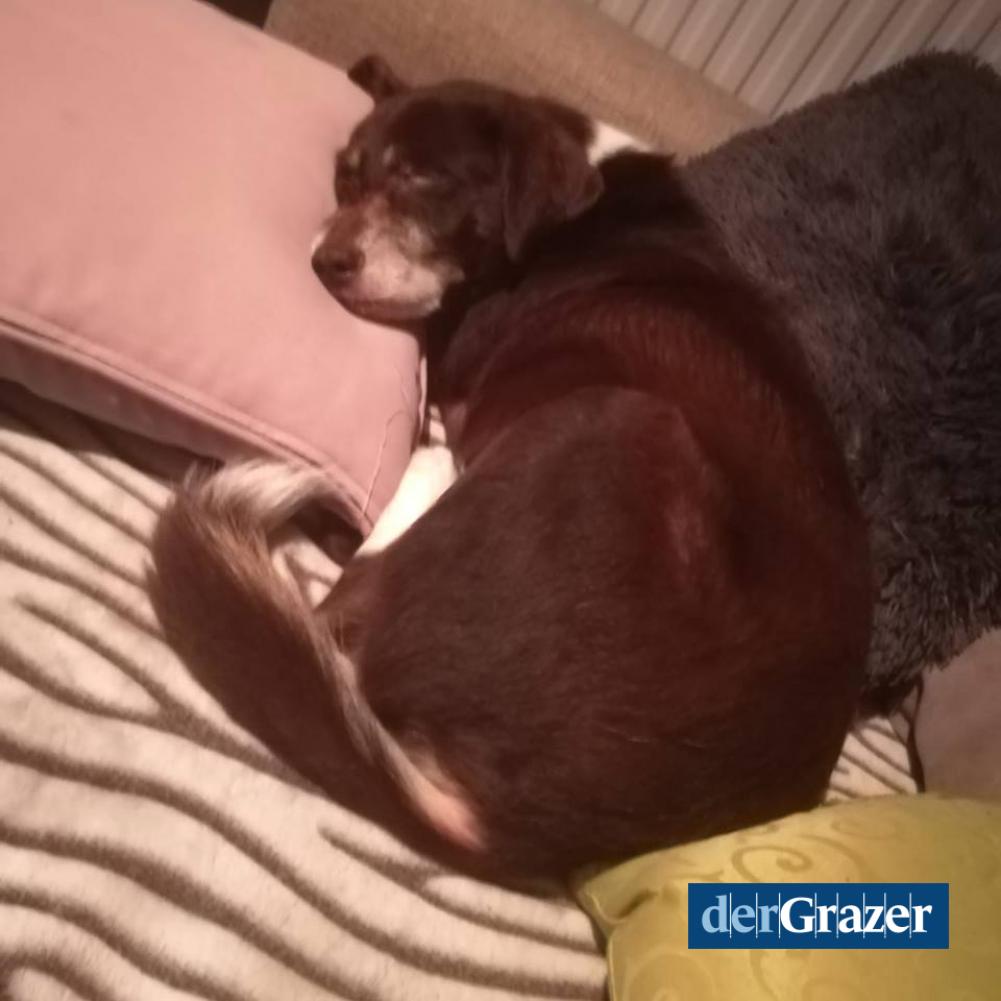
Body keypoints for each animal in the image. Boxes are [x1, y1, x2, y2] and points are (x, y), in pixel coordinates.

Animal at [150, 56, 873, 880]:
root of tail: (525, 824)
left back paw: (423, 470)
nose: (323, 261)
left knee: (345, 605)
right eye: (346, 179)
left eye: (423, 179)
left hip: (608, 420)